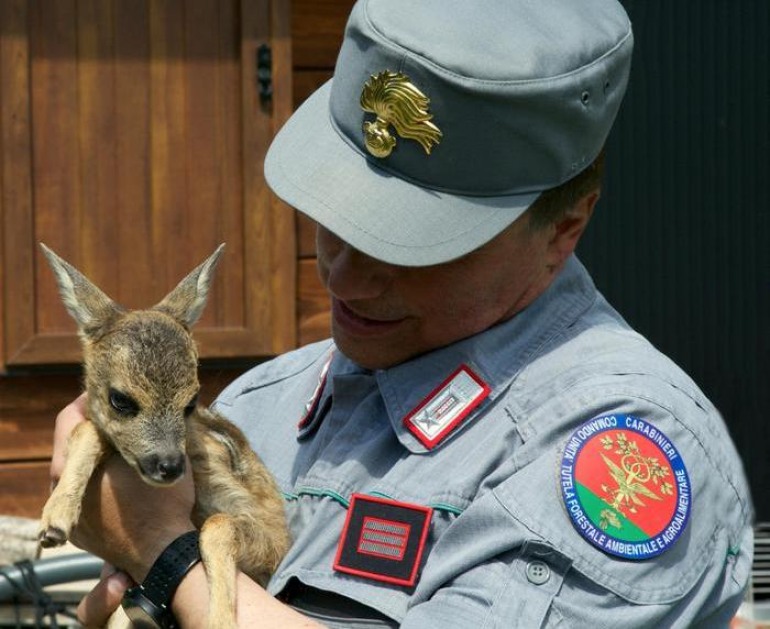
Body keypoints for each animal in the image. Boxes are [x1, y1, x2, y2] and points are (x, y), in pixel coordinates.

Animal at [37, 244, 288, 628]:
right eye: (120, 399)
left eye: (192, 401)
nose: (169, 465)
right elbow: (87, 428)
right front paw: (55, 519)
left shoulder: (276, 534)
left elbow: (217, 525)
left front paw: (220, 621)